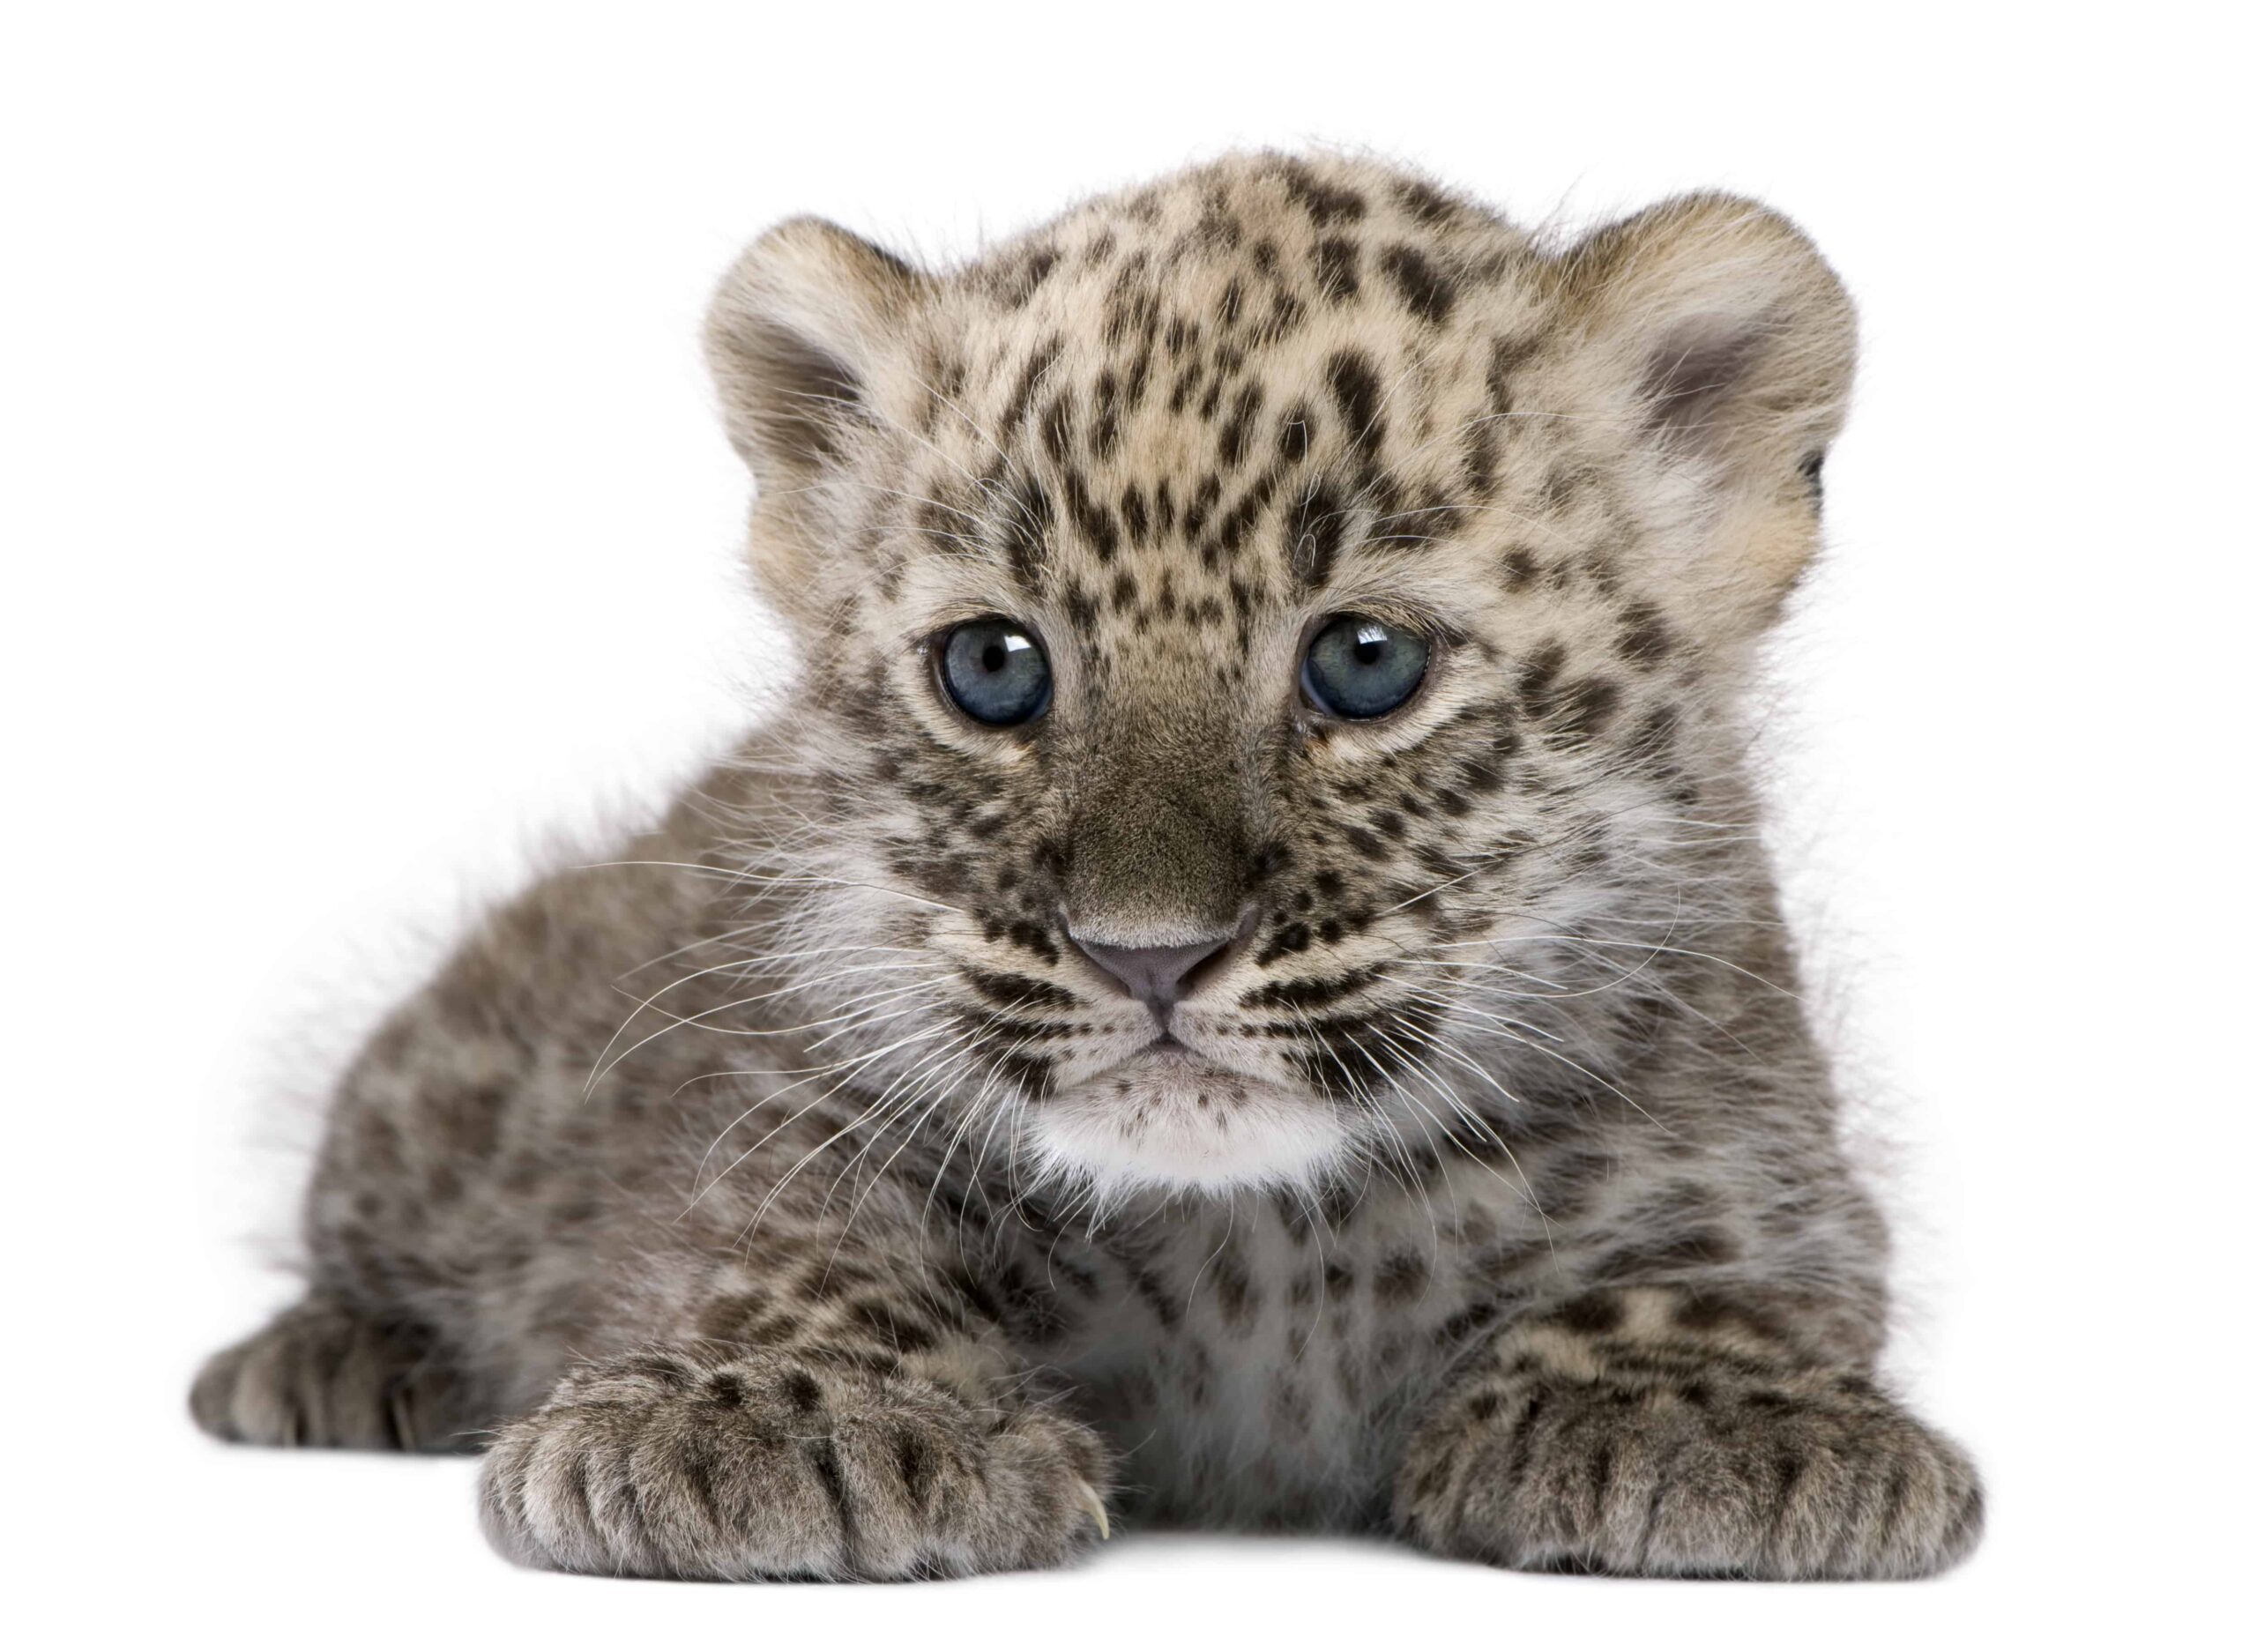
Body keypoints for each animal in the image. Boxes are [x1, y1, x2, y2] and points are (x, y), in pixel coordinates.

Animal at [192, 151, 1983, 1582]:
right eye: (994, 668)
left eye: (1368, 663)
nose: (1148, 952)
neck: (1267, 1250)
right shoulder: (771, 1110)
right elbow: (775, 1245)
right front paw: (796, 1416)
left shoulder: (1752, 1152)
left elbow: (1707, 1278)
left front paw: (1704, 1411)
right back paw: (331, 1362)